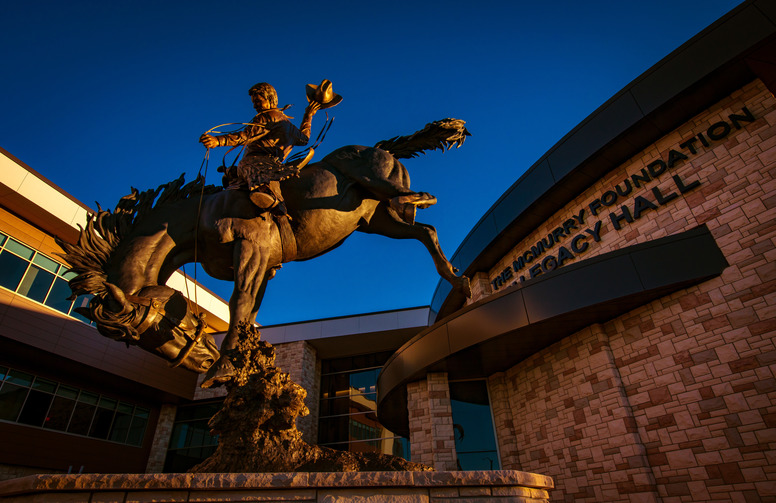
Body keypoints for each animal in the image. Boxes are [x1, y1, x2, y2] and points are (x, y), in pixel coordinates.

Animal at [57, 119, 470, 386]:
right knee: (426, 231)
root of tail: (381, 149)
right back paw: (459, 283)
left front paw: (224, 369)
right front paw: (244, 363)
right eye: (136, 339)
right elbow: (250, 311)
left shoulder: (252, 250)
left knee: (419, 201)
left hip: (377, 184)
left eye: (160, 322)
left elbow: (239, 303)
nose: (201, 361)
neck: (198, 217)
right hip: (377, 221)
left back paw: (421, 205)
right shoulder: (266, 264)